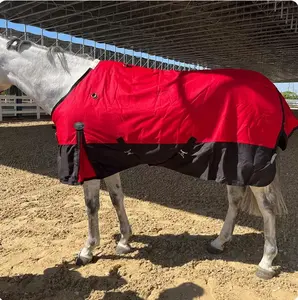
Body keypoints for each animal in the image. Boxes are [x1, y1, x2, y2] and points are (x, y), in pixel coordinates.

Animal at [0, 36, 296, 280]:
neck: (68, 85)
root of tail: (272, 91)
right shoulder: (106, 158)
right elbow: (116, 198)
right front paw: (124, 241)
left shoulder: (86, 162)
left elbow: (92, 206)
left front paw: (87, 250)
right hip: (231, 160)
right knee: (235, 200)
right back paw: (218, 243)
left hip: (252, 163)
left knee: (267, 208)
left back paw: (266, 263)